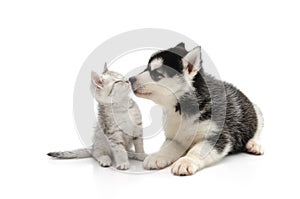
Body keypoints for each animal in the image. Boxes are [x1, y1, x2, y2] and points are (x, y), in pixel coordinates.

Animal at [129, 42, 262, 175]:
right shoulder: (176, 137)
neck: (181, 109)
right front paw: (158, 156)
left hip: (256, 111)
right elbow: (168, 147)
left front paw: (186, 161)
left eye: (157, 74)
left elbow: (196, 151)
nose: (131, 79)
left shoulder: (218, 135)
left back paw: (254, 144)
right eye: (146, 68)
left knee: (257, 131)